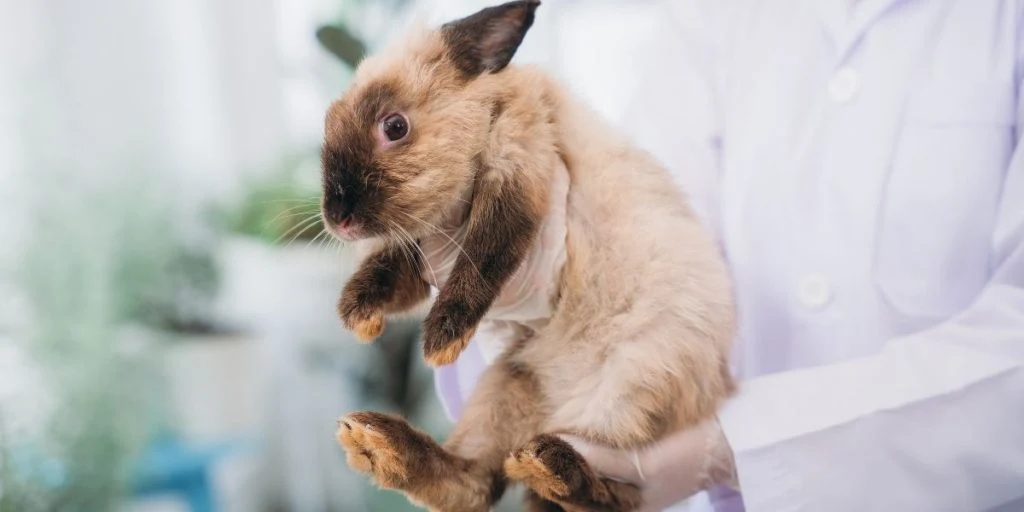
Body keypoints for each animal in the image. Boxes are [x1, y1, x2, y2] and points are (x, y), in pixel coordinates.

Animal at [321, 1, 737, 511]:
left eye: (395, 126)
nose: (337, 218)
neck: (489, 110)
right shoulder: (420, 247)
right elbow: (394, 273)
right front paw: (359, 315)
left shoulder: (518, 181)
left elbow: (483, 261)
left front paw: (439, 342)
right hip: (508, 385)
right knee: (474, 480)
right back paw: (378, 443)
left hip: (638, 385)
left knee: (617, 493)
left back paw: (555, 467)